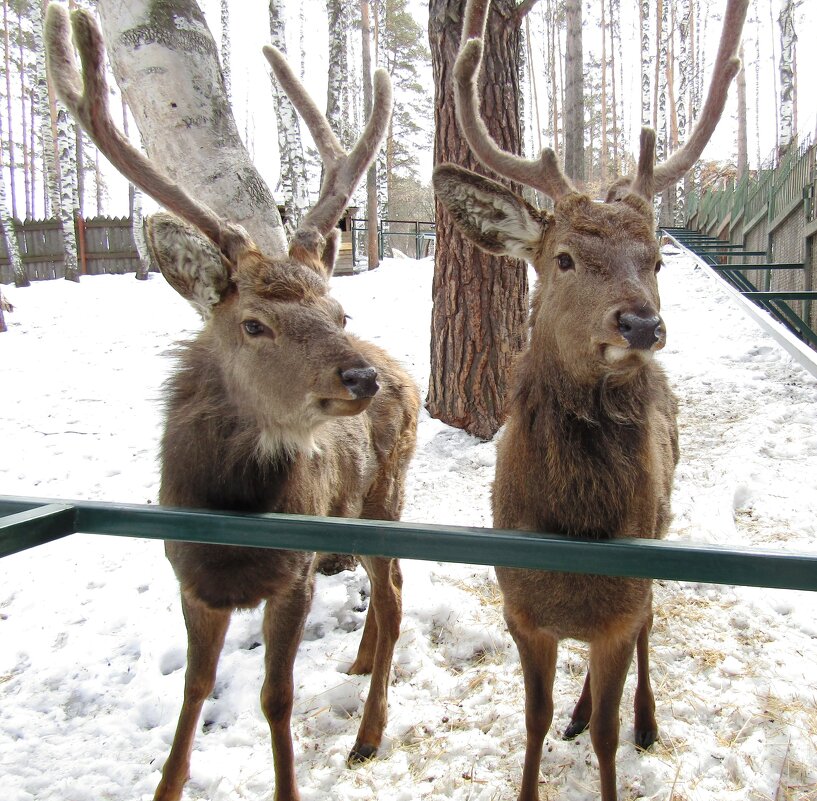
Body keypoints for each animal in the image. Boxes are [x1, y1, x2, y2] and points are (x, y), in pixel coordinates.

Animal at [44, 7, 418, 800]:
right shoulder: (187, 575)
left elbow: (275, 697)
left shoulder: (294, 573)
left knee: (395, 588)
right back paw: (360, 663)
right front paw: (166, 784)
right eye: (253, 324)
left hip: (386, 493)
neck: (231, 523)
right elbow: (194, 686)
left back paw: (369, 731)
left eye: (337, 312)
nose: (359, 378)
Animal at [436, 1, 748, 800]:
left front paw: (619, 730)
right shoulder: (520, 610)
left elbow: (610, 731)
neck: (572, 542)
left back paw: (647, 718)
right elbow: (533, 721)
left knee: (648, 634)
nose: (641, 323)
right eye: (565, 258)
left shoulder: (617, 608)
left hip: (659, 538)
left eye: (657, 259)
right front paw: (551, 739)